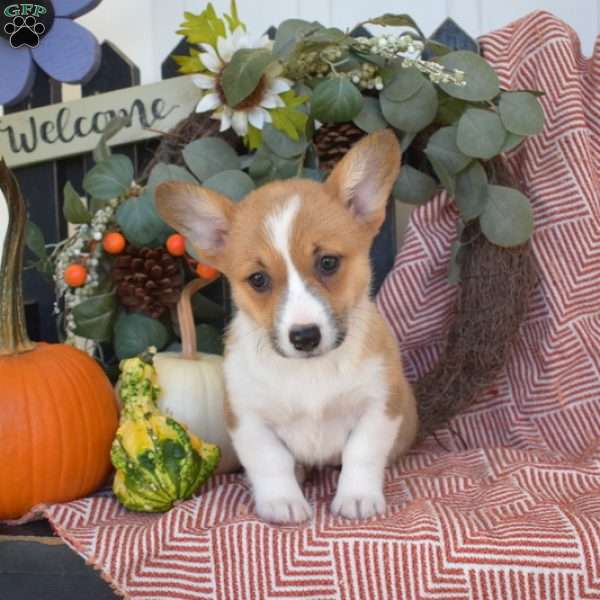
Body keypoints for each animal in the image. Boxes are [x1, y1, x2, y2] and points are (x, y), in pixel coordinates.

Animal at [155, 130, 418, 520]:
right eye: (258, 280)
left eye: (328, 262)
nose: (305, 337)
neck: (310, 370)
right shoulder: (248, 418)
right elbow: (270, 462)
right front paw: (282, 502)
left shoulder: (380, 405)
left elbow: (362, 453)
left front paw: (356, 497)